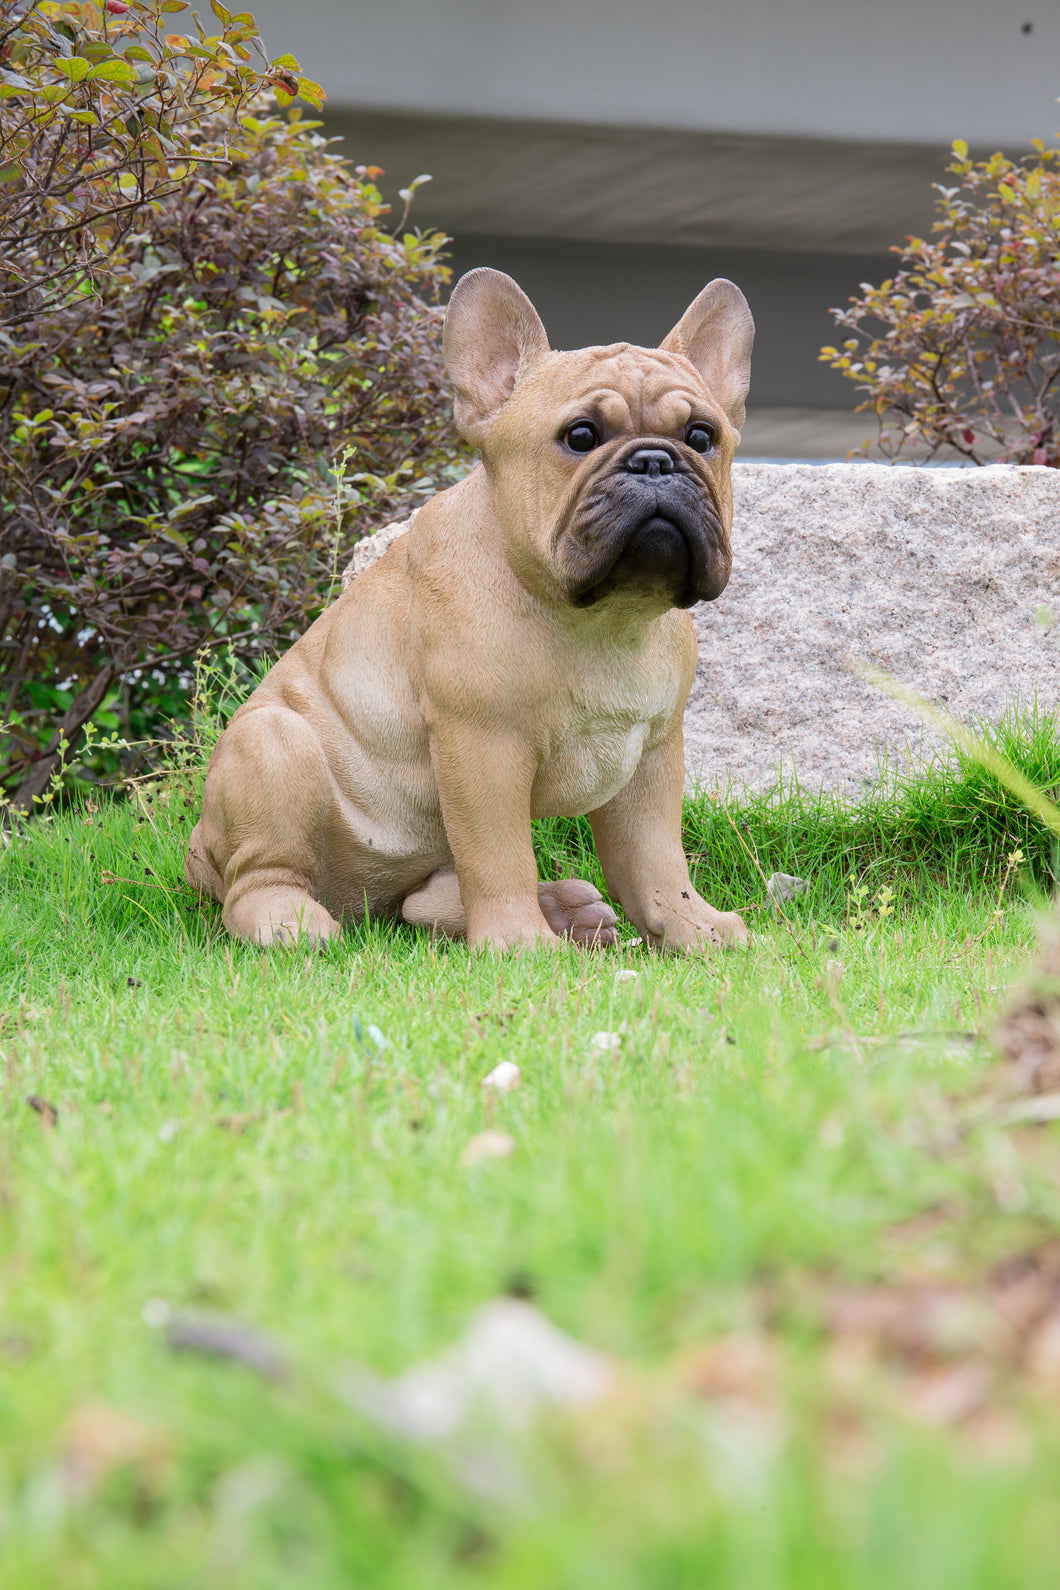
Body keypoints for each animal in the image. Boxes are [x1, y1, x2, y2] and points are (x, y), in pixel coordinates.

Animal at [188, 267, 753, 947]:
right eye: (581, 437)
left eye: (701, 436)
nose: (655, 461)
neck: (600, 615)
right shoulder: (483, 748)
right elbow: (499, 854)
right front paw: (519, 943)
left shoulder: (652, 756)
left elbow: (656, 859)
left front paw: (695, 928)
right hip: (272, 747)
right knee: (259, 879)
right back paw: (289, 921)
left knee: (418, 903)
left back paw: (567, 910)